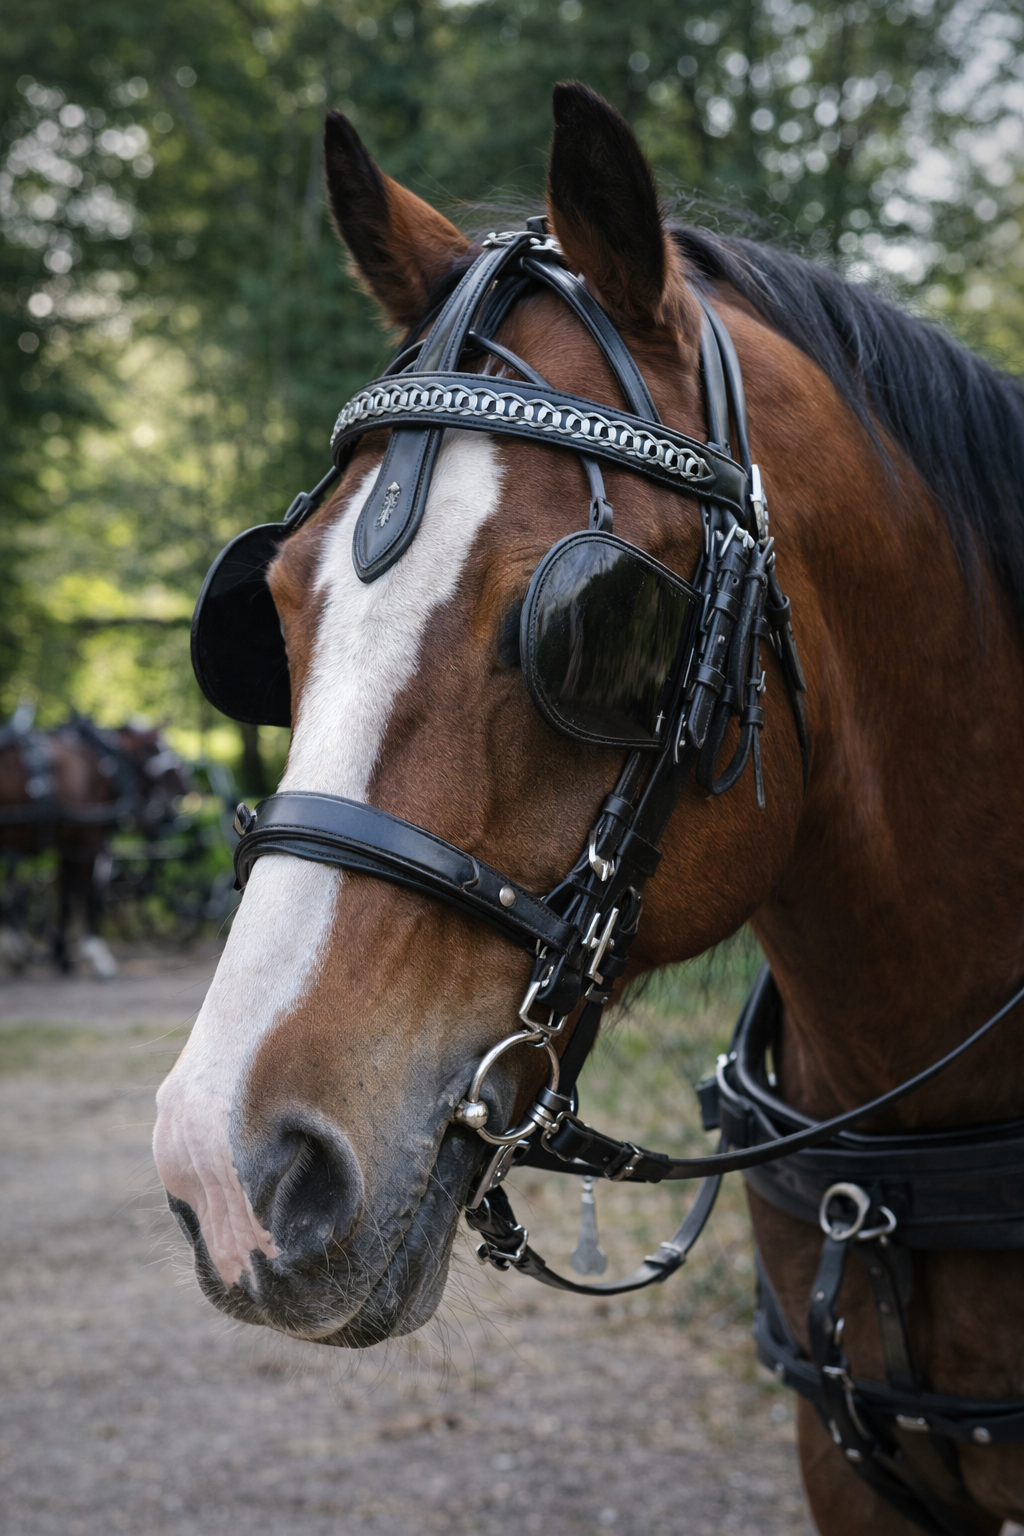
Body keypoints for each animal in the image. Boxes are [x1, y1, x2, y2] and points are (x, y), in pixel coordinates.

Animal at [0, 710, 188, 975]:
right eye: (152, 746)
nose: (186, 787)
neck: (101, 764)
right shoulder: (90, 840)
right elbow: (90, 893)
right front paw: (96, 953)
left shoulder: (69, 844)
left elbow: (66, 897)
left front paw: (61, 954)